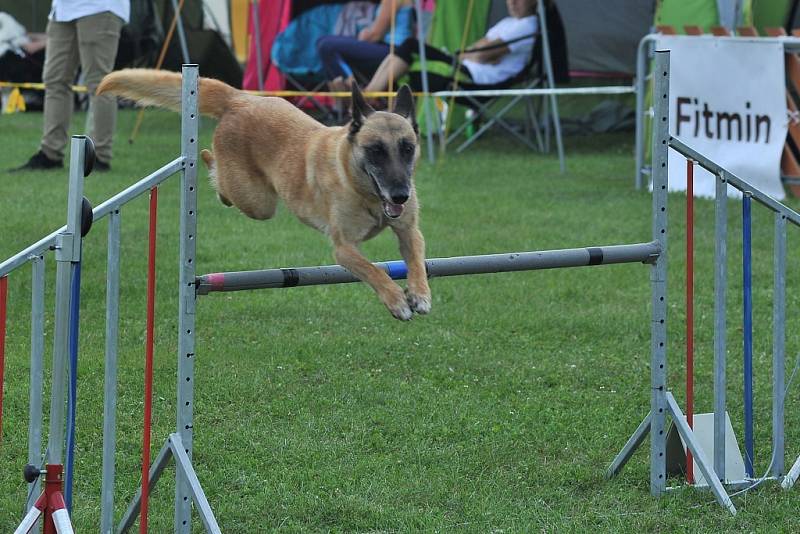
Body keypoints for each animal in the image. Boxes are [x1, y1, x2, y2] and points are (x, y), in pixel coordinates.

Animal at [98, 69, 432, 320]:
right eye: (375, 151)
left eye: (407, 148)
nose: (401, 195)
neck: (362, 188)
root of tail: (241, 98)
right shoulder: (344, 249)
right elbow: (374, 270)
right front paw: (396, 300)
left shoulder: (409, 231)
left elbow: (416, 259)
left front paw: (420, 293)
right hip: (257, 201)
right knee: (217, 172)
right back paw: (208, 163)